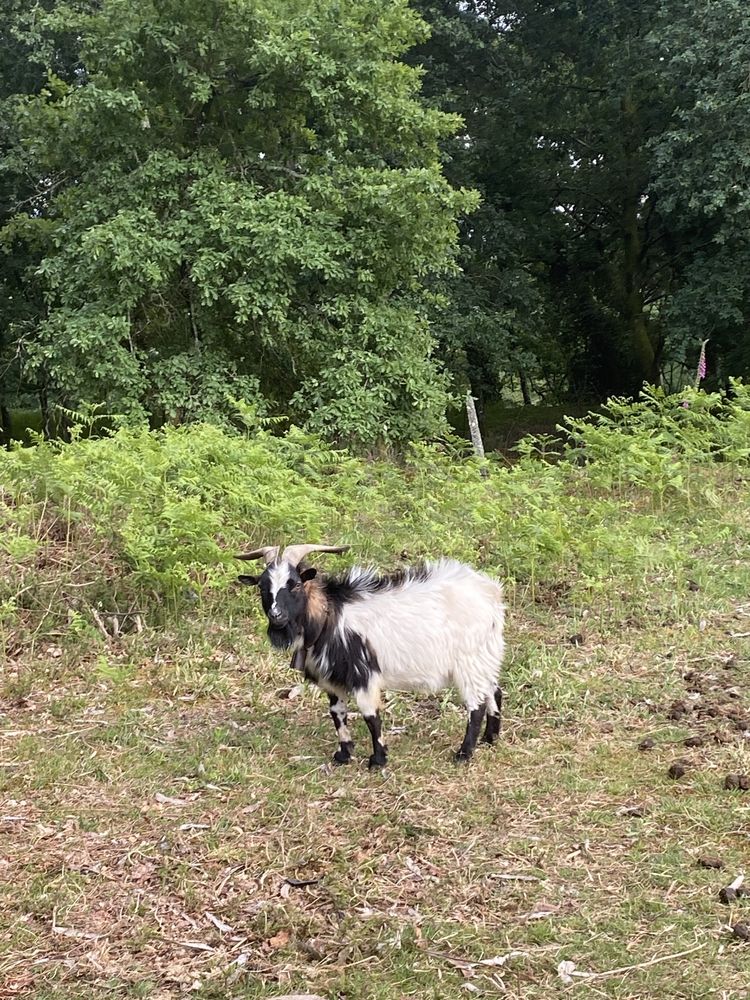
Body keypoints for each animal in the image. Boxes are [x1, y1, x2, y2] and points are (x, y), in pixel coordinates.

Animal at [238, 548, 508, 764]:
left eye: (294, 584)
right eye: (262, 587)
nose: (276, 615)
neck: (329, 614)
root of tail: (490, 592)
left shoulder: (362, 672)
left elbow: (370, 716)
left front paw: (378, 759)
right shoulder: (333, 679)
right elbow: (337, 713)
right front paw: (344, 754)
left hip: (470, 659)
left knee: (476, 704)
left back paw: (464, 753)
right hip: (485, 656)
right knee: (493, 691)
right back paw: (490, 738)